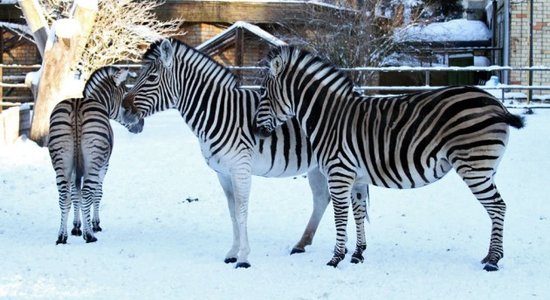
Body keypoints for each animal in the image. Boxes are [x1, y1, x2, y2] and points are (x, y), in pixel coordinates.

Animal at [48, 65, 144, 244]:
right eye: (125, 99)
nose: (141, 125)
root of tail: (77, 105)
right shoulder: (104, 166)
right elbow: (97, 194)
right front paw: (94, 224)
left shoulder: (75, 169)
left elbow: (75, 194)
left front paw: (76, 227)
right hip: (94, 161)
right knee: (87, 193)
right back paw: (89, 236)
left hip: (61, 162)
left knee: (64, 196)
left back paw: (62, 236)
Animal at [121, 38, 370, 268]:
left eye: (151, 78)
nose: (124, 110)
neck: (218, 113)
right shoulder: (223, 173)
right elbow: (232, 213)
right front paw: (232, 252)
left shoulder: (240, 168)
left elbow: (241, 212)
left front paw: (243, 258)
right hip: (319, 167)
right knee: (322, 199)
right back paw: (303, 244)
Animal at [254, 45, 528, 272]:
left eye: (264, 93)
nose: (256, 131)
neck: (328, 117)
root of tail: (497, 103)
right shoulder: (357, 178)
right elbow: (358, 212)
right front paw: (358, 254)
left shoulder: (339, 172)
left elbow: (340, 216)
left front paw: (335, 258)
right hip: (487, 168)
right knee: (497, 207)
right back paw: (490, 256)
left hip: (475, 167)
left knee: (498, 206)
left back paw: (493, 261)